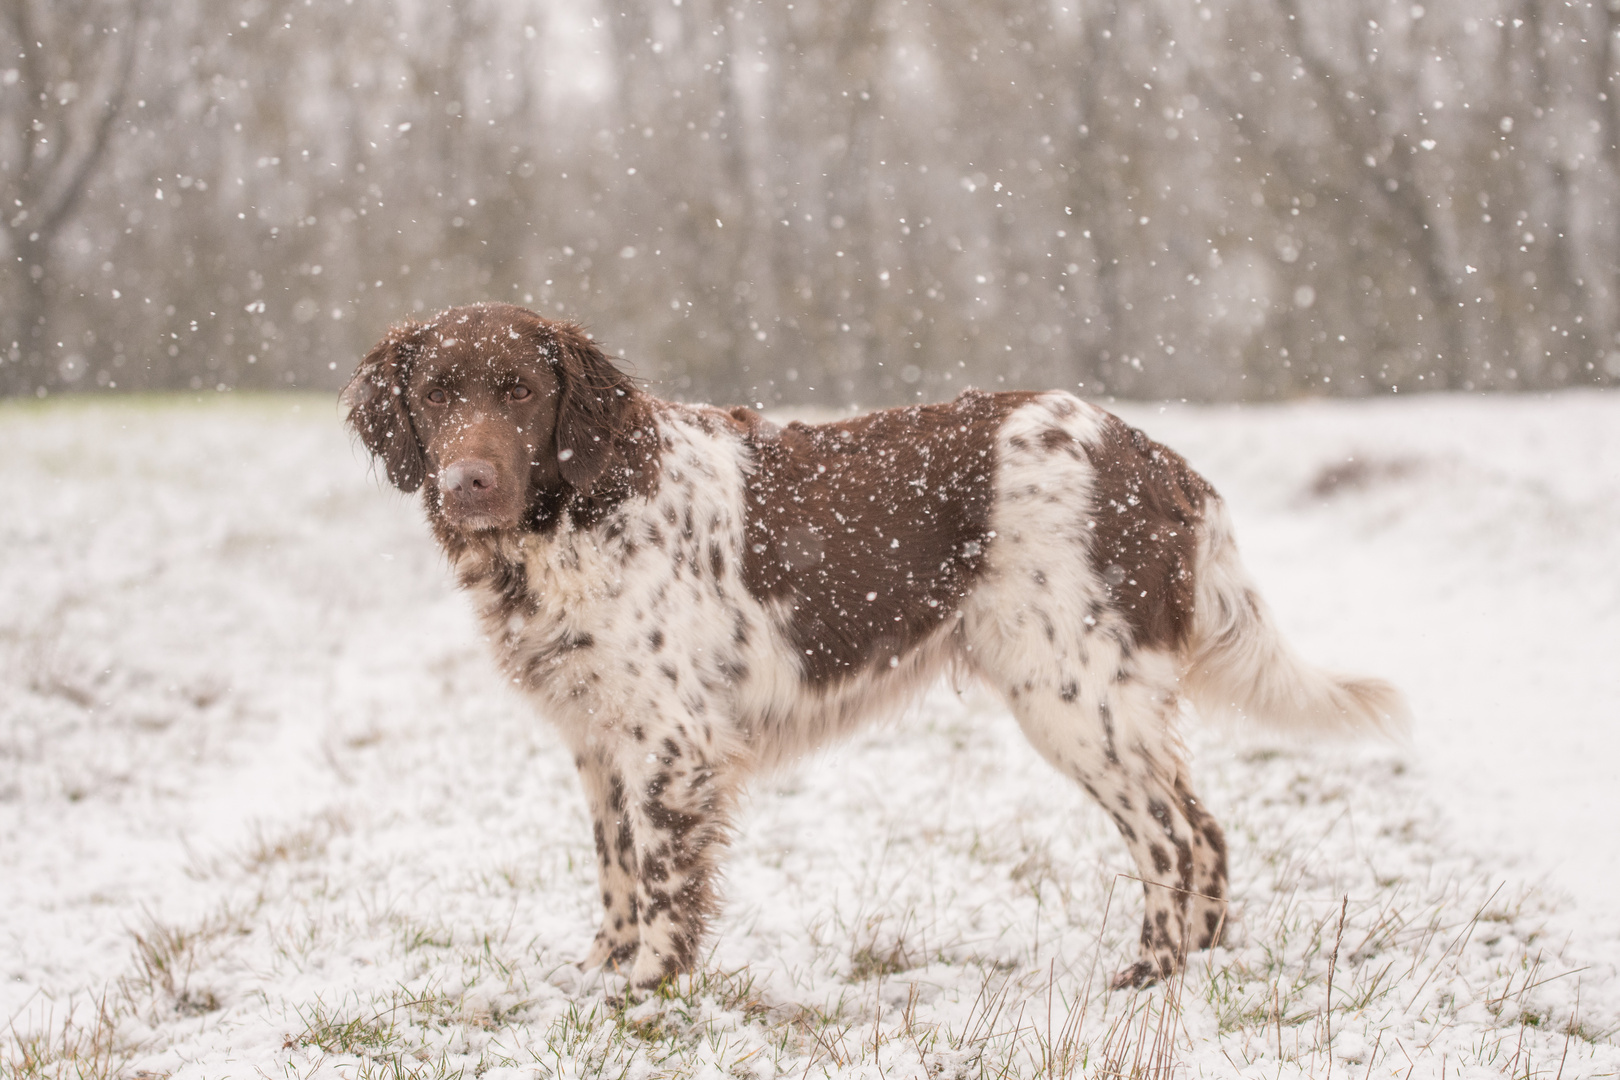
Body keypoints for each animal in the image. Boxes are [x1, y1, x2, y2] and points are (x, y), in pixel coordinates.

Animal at [341, 299, 1406, 990]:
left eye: (519, 389)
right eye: (436, 392)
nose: (467, 483)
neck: (583, 507)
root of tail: (1155, 456)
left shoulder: (675, 741)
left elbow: (663, 883)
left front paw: (645, 993)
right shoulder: (601, 738)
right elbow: (616, 870)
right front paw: (599, 974)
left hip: (1074, 697)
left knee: (1171, 836)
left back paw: (1147, 974)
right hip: (1110, 704)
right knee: (1208, 825)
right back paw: (1205, 961)